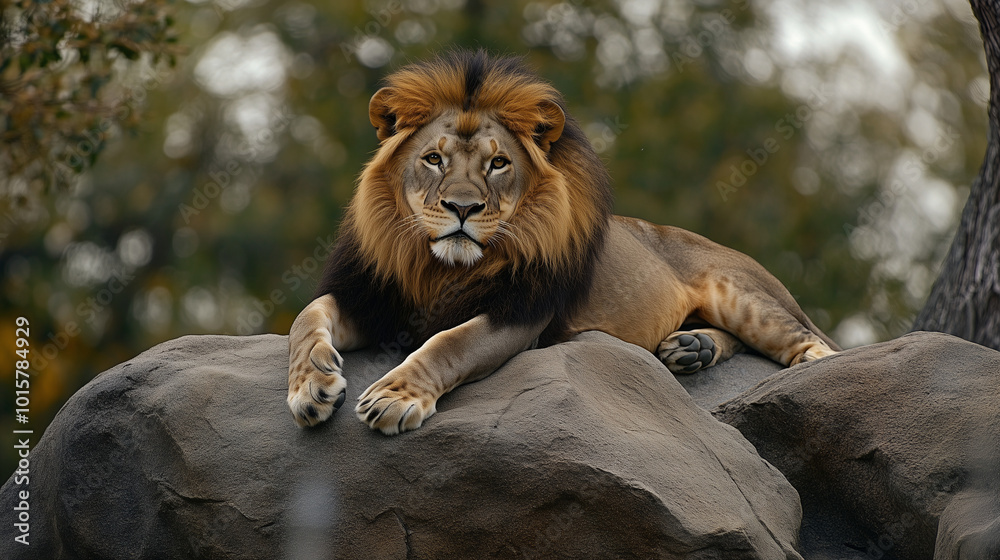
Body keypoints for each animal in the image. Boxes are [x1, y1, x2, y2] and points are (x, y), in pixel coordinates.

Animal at [287, 50, 839, 434]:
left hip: (743, 295)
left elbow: (451, 343)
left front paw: (394, 397)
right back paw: (692, 348)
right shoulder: (371, 299)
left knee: (813, 345)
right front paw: (311, 387)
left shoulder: (520, 314)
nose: (462, 208)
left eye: (498, 163)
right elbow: (306, 319)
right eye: (434, 159)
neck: (441, 268)